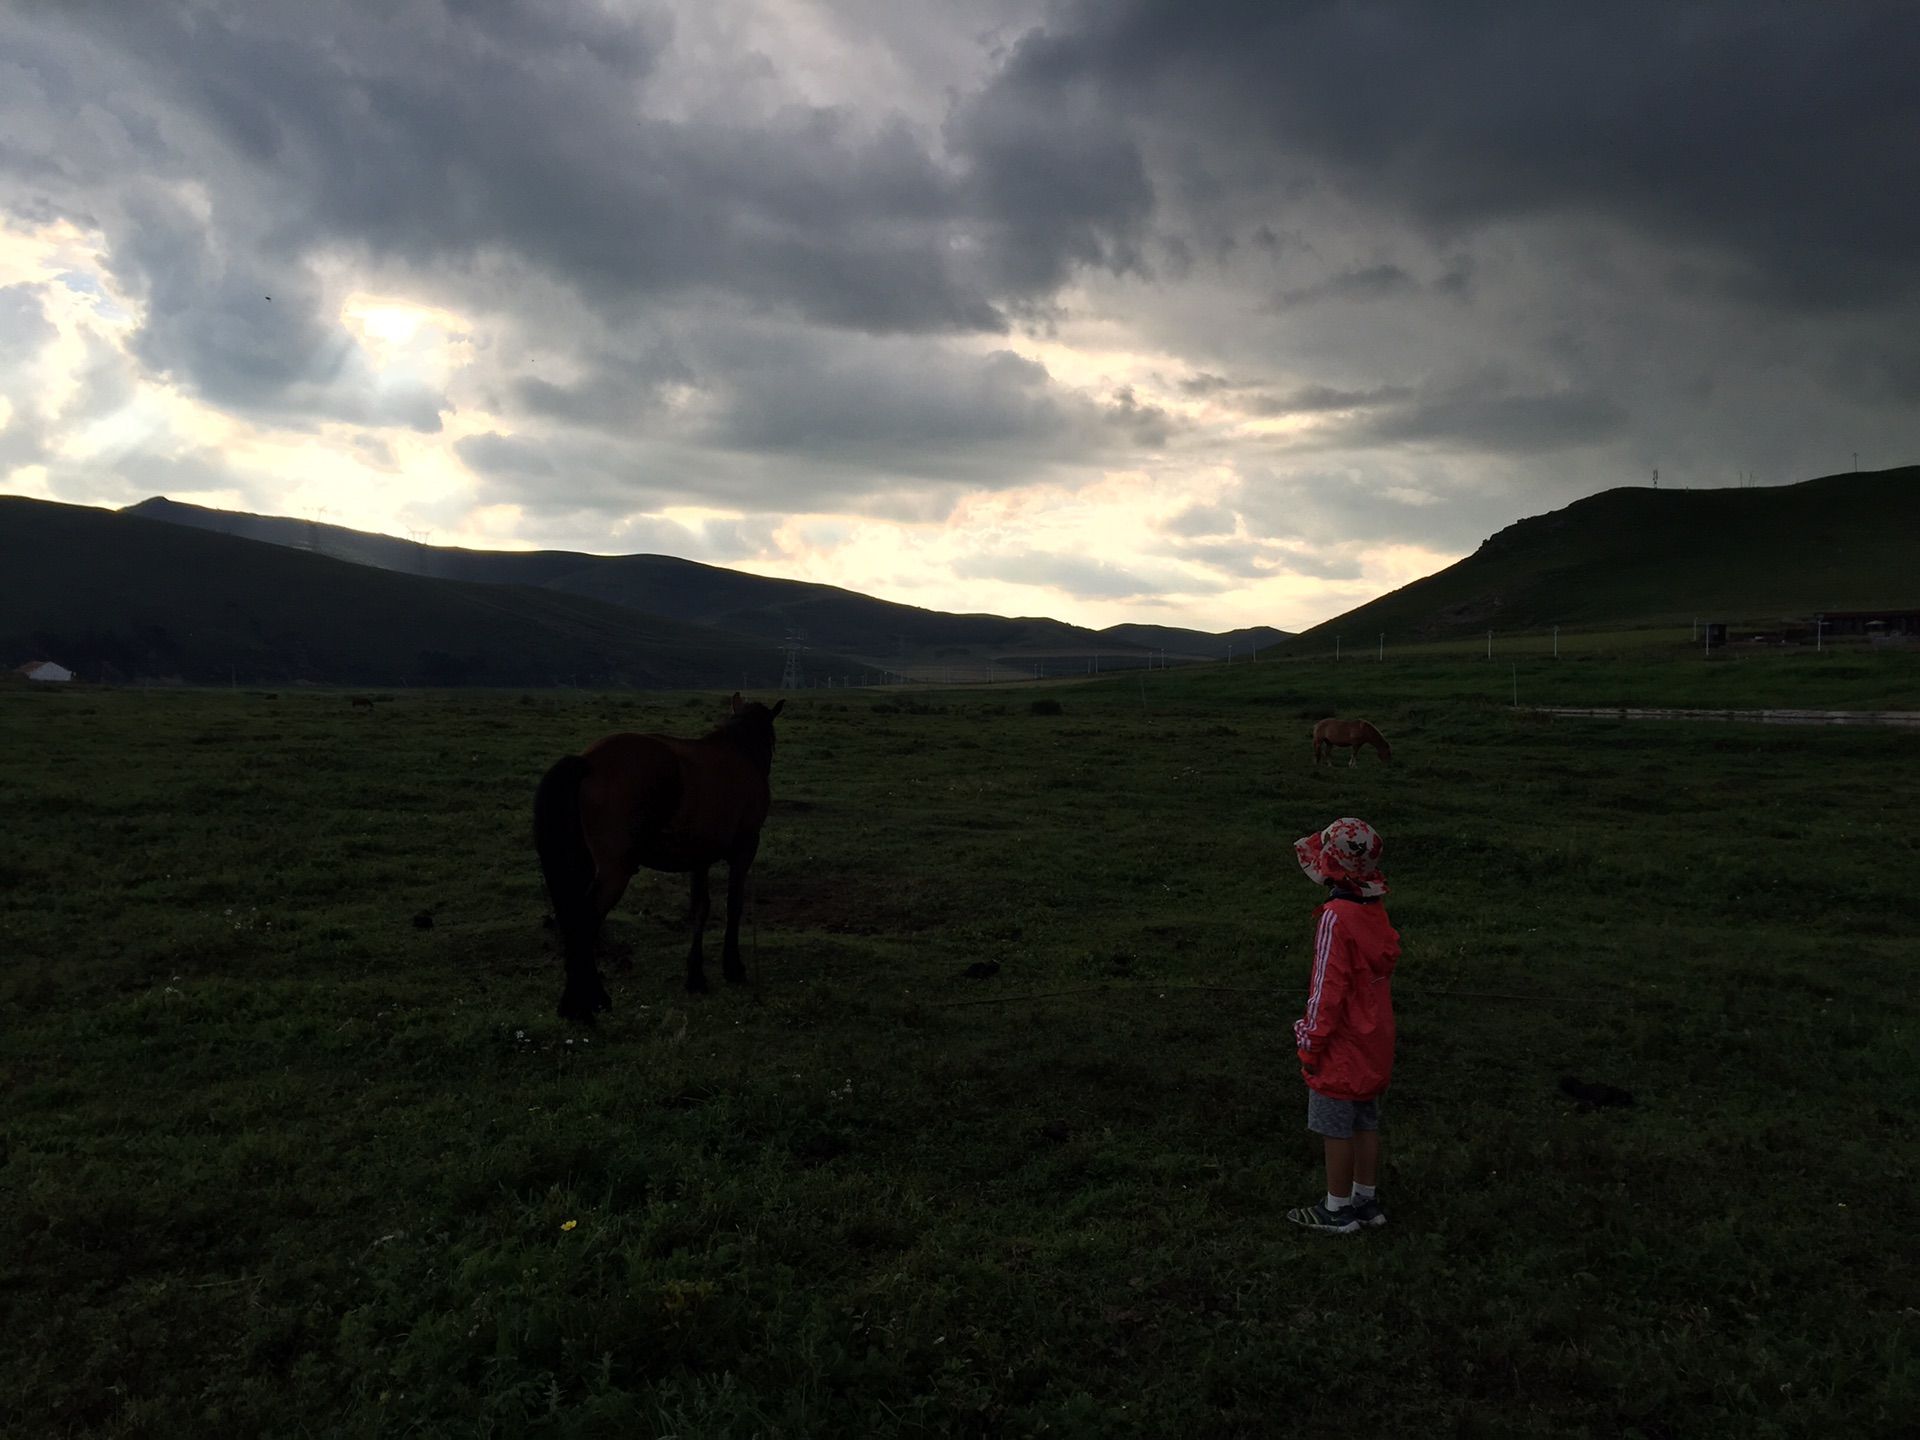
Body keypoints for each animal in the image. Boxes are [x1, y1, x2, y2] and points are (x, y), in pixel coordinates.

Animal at [529, 695, 783, 1021]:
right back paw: (588, 1002)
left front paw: (696, 975)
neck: (741, 752)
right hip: (614, 871)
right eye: (771, 740)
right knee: (585, 920)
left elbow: (700, 909)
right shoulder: (744, 849)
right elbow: (733, 906)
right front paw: (733, 967)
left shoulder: (699, 859)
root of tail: (588, 762)